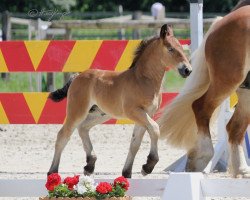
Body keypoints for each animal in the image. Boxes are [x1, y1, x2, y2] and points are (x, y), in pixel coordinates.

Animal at [47, 24, 191, 177]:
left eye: (181, 48)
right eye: (170, 48)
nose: (187, 70)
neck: (142, 80)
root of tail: (78, 76)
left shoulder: (146, 114)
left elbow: (135, 143)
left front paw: (127, 172)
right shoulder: (134, 112)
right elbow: (155, 129)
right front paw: (148, 165)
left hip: (101, 114)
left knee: (83, 128)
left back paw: (90, 165)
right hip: (77, 111)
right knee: (63, 135)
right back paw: (52, 171)